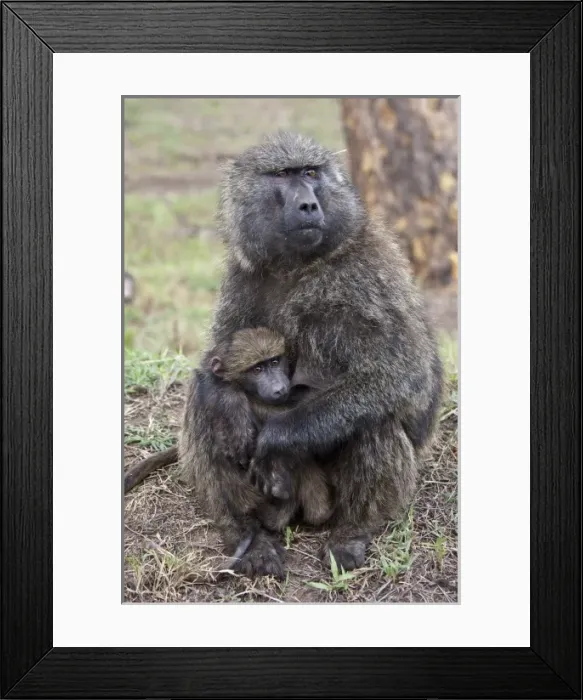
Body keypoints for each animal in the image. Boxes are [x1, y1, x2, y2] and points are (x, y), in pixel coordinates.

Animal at [180, 131, 443, 577]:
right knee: (203, 409)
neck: (298, 266)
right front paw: (229, 404)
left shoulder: (367, 274)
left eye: (310, 173)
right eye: (283, 175)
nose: (307, 204)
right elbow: (215, 365)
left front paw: (275, 439)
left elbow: (402, 374)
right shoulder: (243, 274)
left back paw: (352, 534)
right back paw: (247, 535)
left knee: (374, 418)